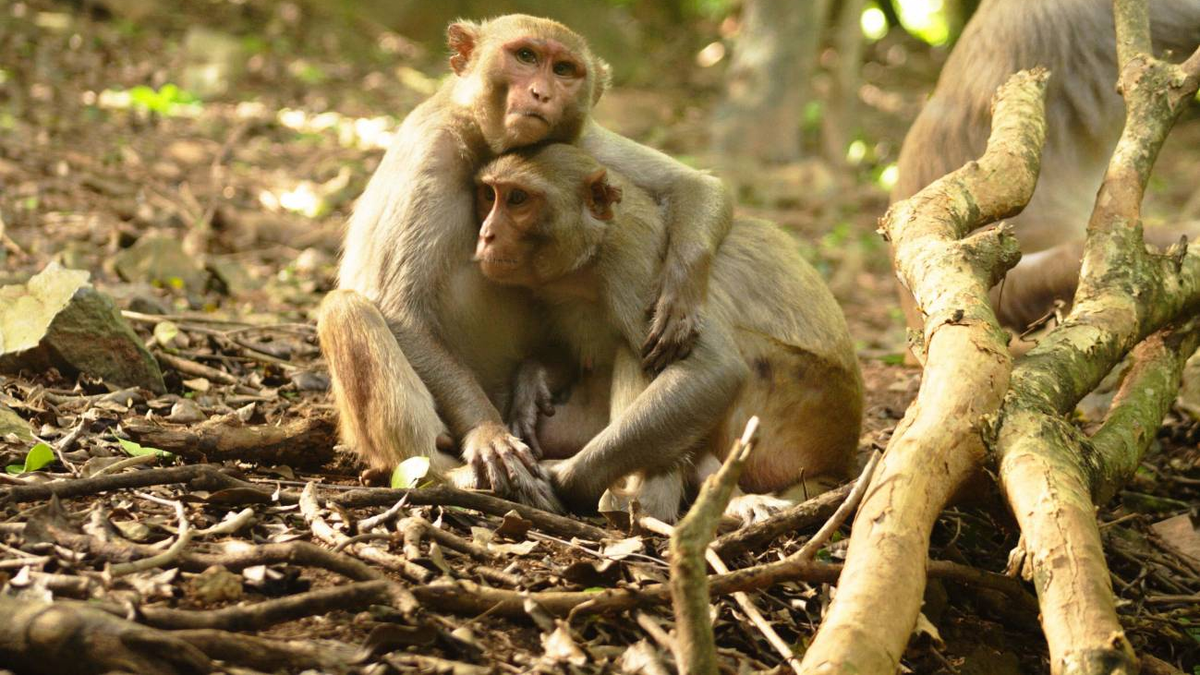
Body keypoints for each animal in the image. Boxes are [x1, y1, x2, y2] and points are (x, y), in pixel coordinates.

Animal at [317, 15, 733, 502]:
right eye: (526, 57)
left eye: (564, 70)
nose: (541, 93)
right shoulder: (430, 149)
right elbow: (399, 308)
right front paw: (488, 434)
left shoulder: (582, 141)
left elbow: (697, 186)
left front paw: (678, 298)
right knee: (347, 310)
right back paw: (444, 474)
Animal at [472, 144, 864, 522]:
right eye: (489, 196)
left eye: (517, 199)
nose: (486, 235)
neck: (589, 260)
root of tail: (840, 459)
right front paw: (532, 381)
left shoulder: (635, 267)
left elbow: (712, 368)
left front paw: (561, 479)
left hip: (798, 408)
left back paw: (648, 503)